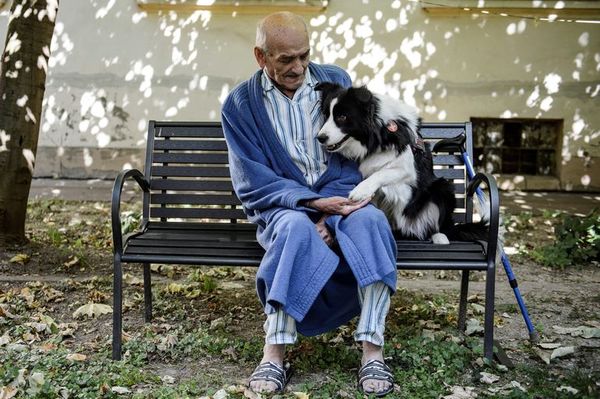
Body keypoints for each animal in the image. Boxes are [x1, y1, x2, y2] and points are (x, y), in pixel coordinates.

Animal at [314, 82, 488, 244]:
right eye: (326, 115)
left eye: (342, 117)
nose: (320, 138)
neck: (378, 134)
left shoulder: (408, 171)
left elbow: (381, 173)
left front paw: (361, 190)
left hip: (442, 187)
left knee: (440, 225)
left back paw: (439, 236)